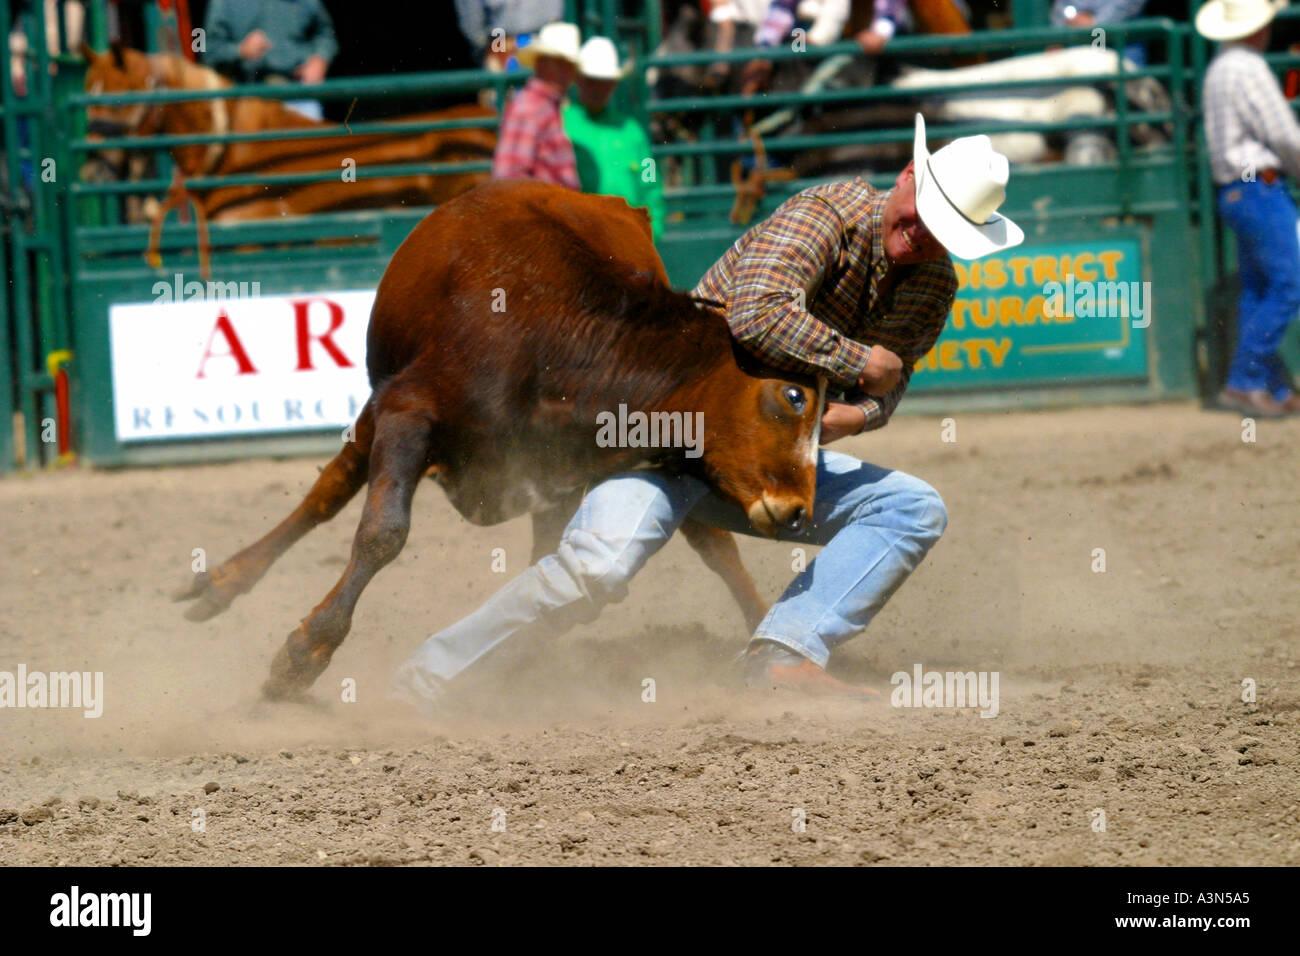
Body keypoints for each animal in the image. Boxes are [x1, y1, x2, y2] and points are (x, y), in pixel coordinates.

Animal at [175, 180, 821, 702]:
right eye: (792, 396)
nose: (798, 511)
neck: (556, 339)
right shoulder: (406, 411)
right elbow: (382, 533)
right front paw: (304, 653)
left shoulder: (579, 472)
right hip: (378, 404)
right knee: (328, 493)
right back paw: (223, 581)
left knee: (713, 547)